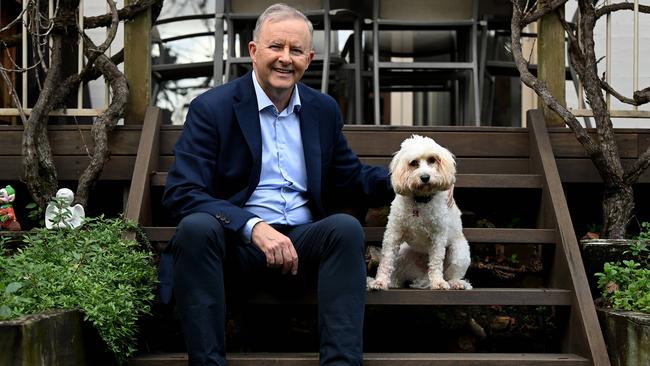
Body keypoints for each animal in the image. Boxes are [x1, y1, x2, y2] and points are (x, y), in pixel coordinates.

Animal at [368, 134, 468, 292]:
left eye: (432, 160)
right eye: (413, 163)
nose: (425, 177)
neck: (420, 200)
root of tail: (423, 276)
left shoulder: (438, 236)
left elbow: (436, 261)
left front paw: (438, 282)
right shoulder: (393, 233)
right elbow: (386, 260)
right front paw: (380, 281)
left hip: (459, 253)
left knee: (451, 274)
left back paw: (456, 283)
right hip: (403, 254)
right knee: (398, 274)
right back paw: (393, 282)